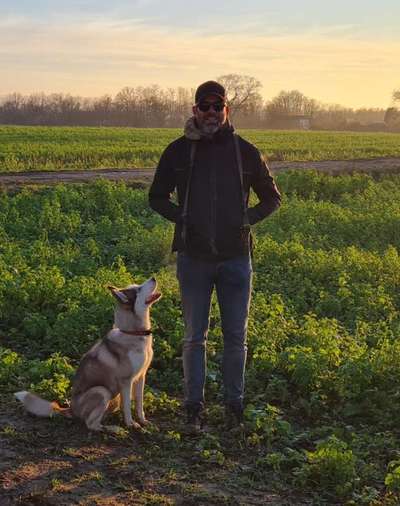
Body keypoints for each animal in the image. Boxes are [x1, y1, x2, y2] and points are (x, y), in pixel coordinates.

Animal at [14, 276, 161, 430]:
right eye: (138, 289)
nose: (153, 277)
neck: (132, 333)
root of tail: (70, 409)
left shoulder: (141, 377)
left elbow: (139, 403)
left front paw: (143, 421)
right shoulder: (126, 381)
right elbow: (126, 407)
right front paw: (131, 424)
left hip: (113, 397)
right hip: (102, 391)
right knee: (91, 424)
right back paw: (113, 429)